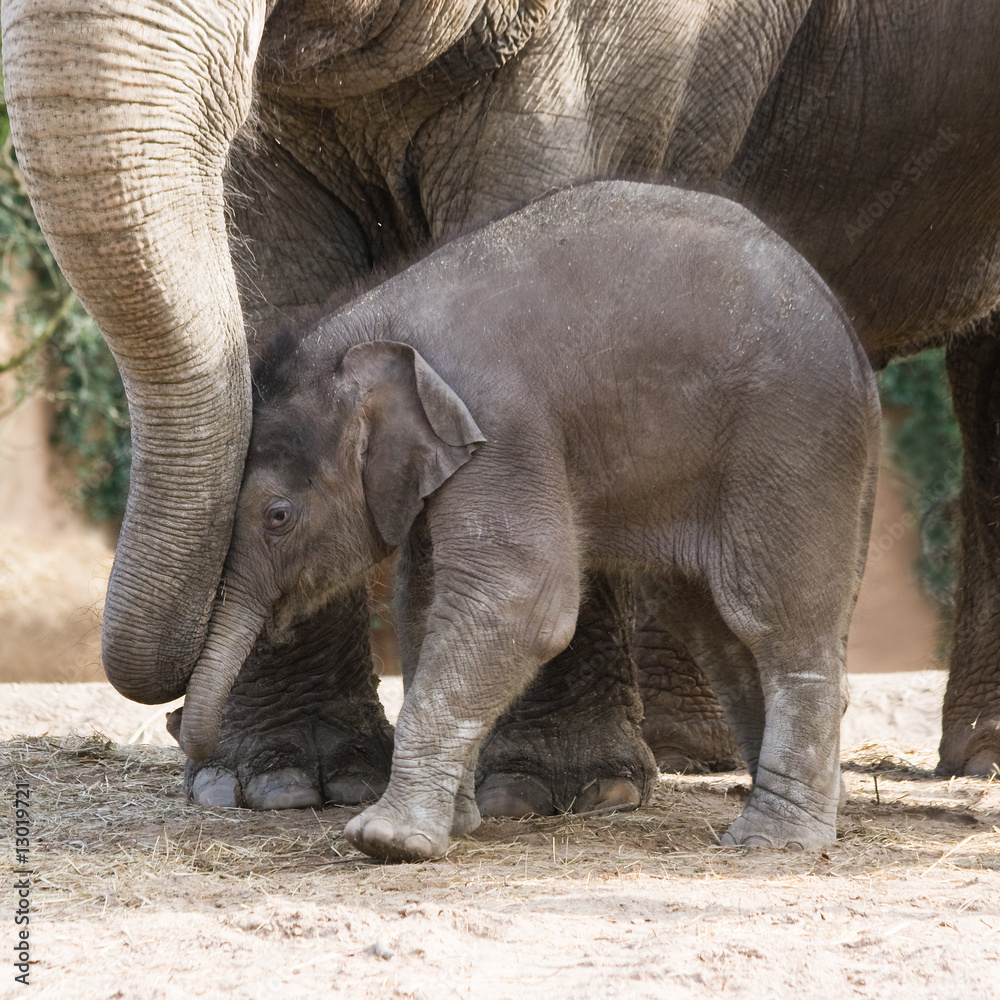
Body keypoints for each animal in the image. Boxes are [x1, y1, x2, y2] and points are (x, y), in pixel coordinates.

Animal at [175, 181, 880, 861]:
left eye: (278, 516)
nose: (178, 728)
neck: (376, 322)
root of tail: (854, 342)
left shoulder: (503, 429)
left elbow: (522, 602)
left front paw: (386, 842)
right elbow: (426, 604)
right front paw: (455, 825)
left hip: (788, 443)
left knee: (773, 615)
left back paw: (774, 841)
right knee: (712, 624)